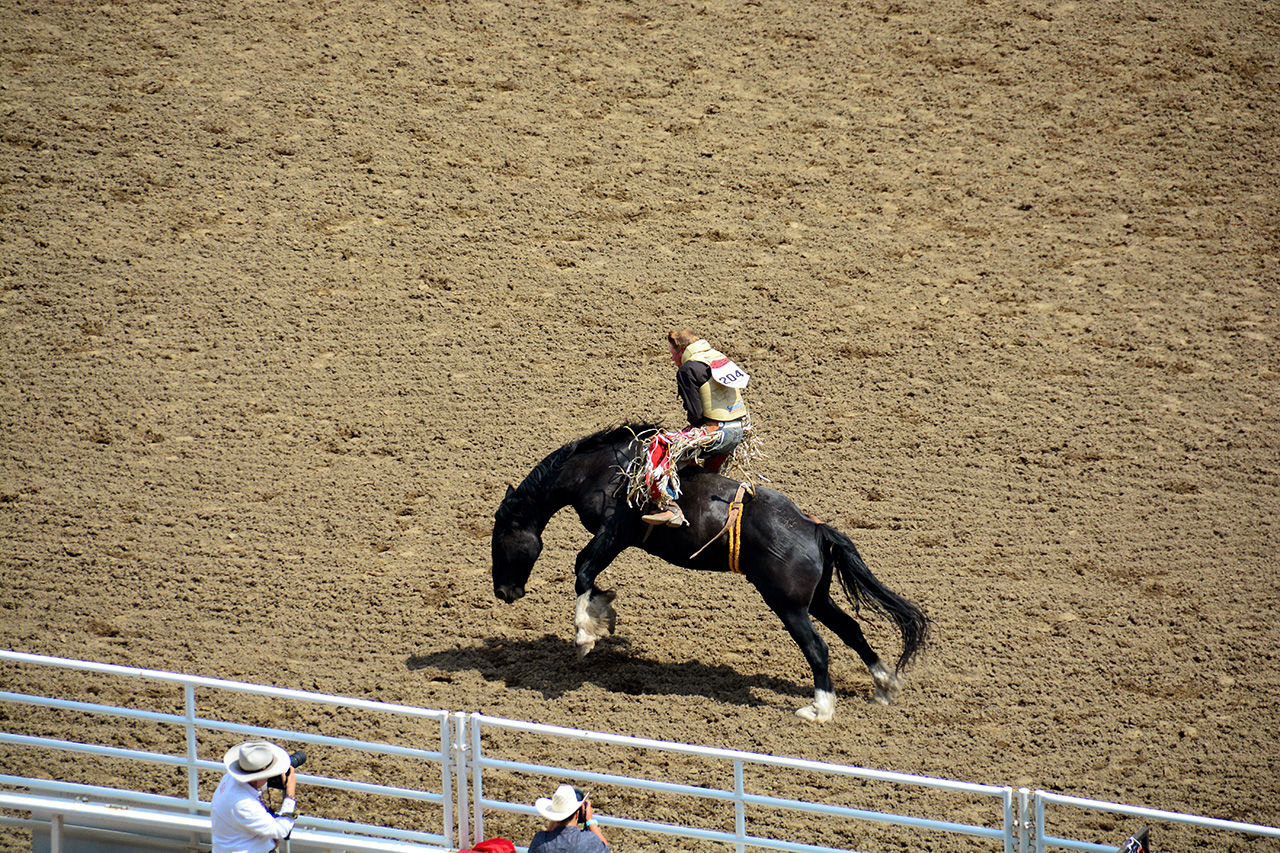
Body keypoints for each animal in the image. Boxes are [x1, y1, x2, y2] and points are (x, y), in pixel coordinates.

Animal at [491, 417, 931, 717]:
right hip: (816, 599)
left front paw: (587, 631)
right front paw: (603, 615)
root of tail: (814, 528)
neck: (602, 471)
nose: (503, 592)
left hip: (788, 604)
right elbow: (588, 574)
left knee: (818, 647)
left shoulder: (615, 532)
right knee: (851, 629)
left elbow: (583, 570)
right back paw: (884, 684)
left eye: (499, 542)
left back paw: (820, 709)